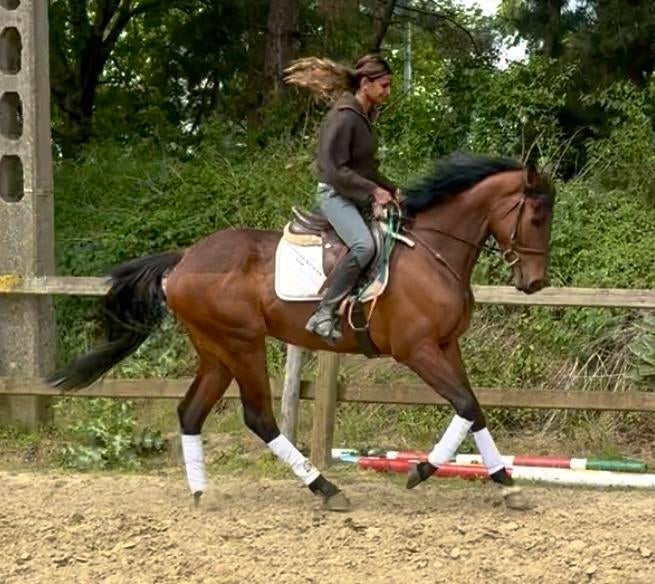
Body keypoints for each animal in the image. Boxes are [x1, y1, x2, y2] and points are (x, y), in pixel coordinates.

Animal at [49, 153, 555, 512]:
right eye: (536, 217)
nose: (535, 283)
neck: (433, 251)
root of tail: (185, 259)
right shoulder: (418, 350)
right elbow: (465, 405)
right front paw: (423, 470)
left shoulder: (447, 346)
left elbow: (475, 409)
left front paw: (505, 484)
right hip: (243, 344)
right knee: (259, 418)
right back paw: (325, 488)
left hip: (216, 352)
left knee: (190, 413)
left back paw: (202, 494)